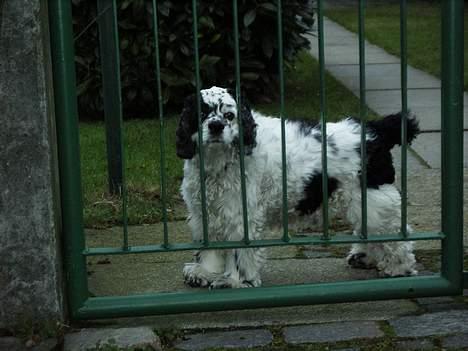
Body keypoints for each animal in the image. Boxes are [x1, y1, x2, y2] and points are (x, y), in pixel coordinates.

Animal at [176, 86, 420, 288]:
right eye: (200, 114)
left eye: (229, 116)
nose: (216, 126)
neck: (219, 161)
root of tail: (374, 129)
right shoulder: (205, 213)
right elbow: (211, 248)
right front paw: (205, 272)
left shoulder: (240, 215)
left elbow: (239, 252)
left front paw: (235, 281)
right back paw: (365, 257)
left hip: (373, 197)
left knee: (394, 233)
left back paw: (399, 267)